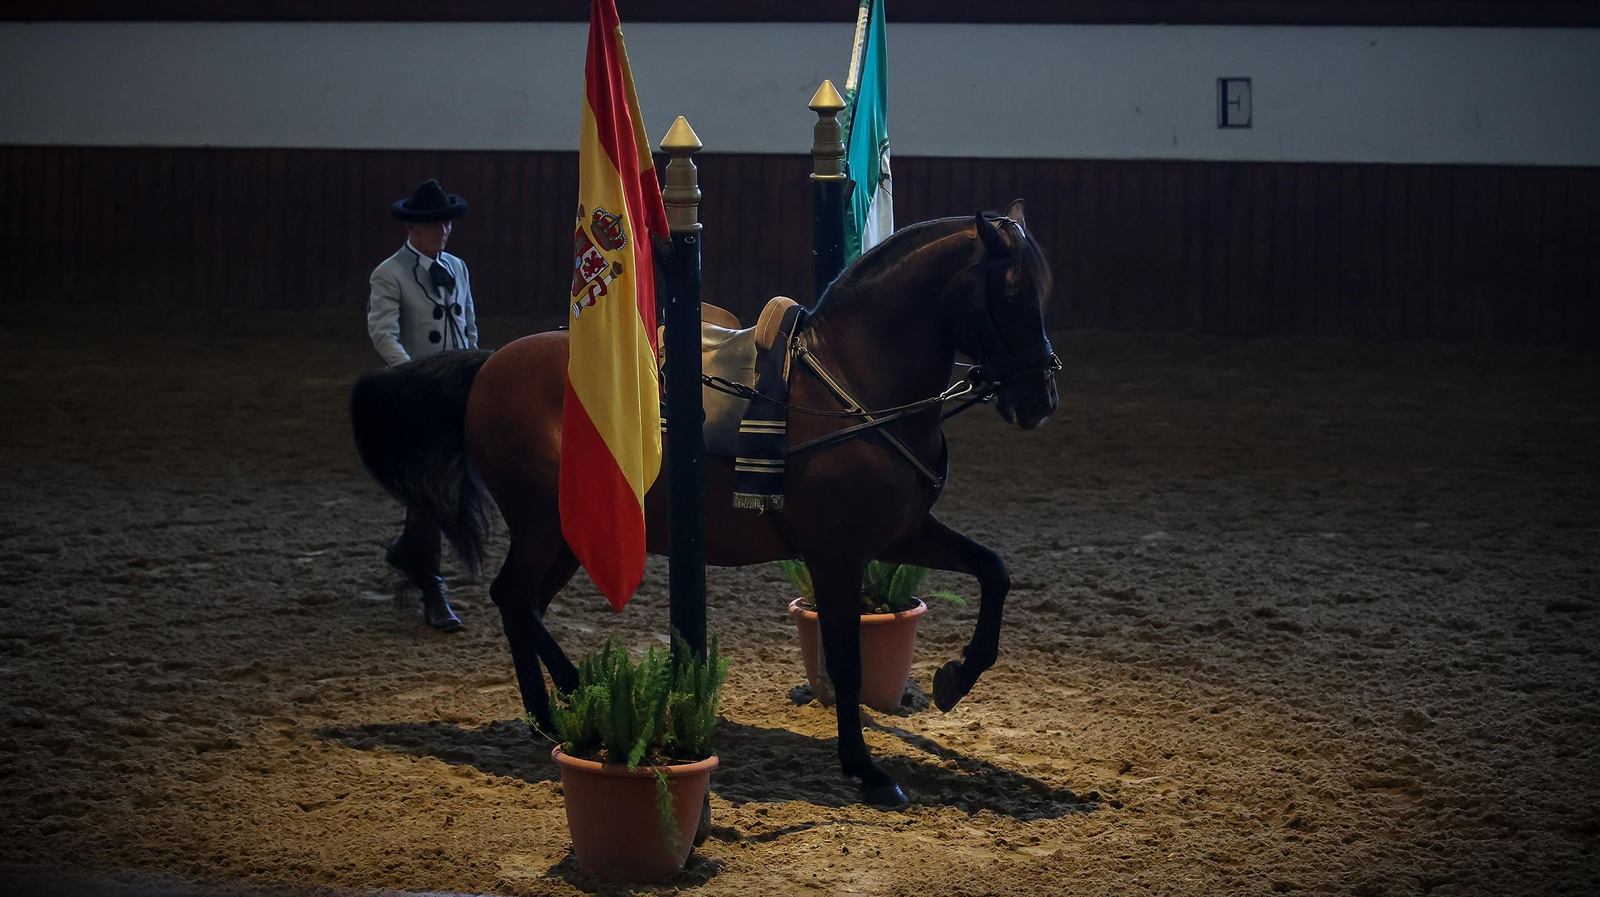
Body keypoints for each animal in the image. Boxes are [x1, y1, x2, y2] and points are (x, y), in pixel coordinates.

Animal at [349, 199, 1059, 807]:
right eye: (1013, 295)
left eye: (1045, 292)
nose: (1040, 401)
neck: (852, 383)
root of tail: (491, 362)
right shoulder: (837, 553)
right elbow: (847, 662)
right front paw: (866, 771)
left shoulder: (899, 535)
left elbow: (994, 570)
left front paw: (955, 677)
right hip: (544, 527)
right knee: (515, 599)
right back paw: (562, 704)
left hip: (570, 536)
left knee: (518, 603)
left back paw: (560, 704)